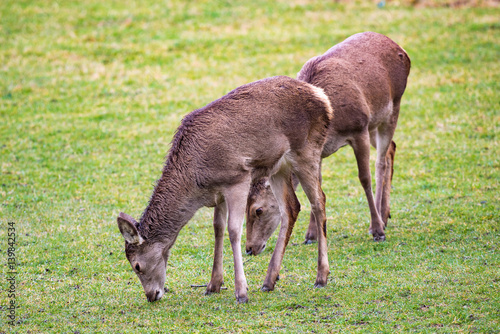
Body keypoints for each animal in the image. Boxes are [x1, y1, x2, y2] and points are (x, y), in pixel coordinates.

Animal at [116, 75, 334, 302]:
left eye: (137, 266)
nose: (152, 295)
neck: (196, 182)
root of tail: (322, 98)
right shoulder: (218, 193)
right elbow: (217, 228)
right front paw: (213, 284)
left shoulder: (237, 177)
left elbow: (234, 230)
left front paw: (241, 292)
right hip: (278, 167)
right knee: (291, 207)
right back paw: (269, 281)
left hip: (307, 151)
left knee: (319, 201)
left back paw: (321, 277)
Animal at [245, 31, 410, 258]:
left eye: (258, 210)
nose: (249, 249)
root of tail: (400, 48)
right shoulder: (317, 149)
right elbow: (317, 186)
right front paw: (311, 234)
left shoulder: (359, 130)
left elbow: (364, 178)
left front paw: (377, 231)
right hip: (375, 124)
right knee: (391, 147)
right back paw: (385, 214)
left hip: (392, 107)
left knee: (380, 162)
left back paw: (380, 219)